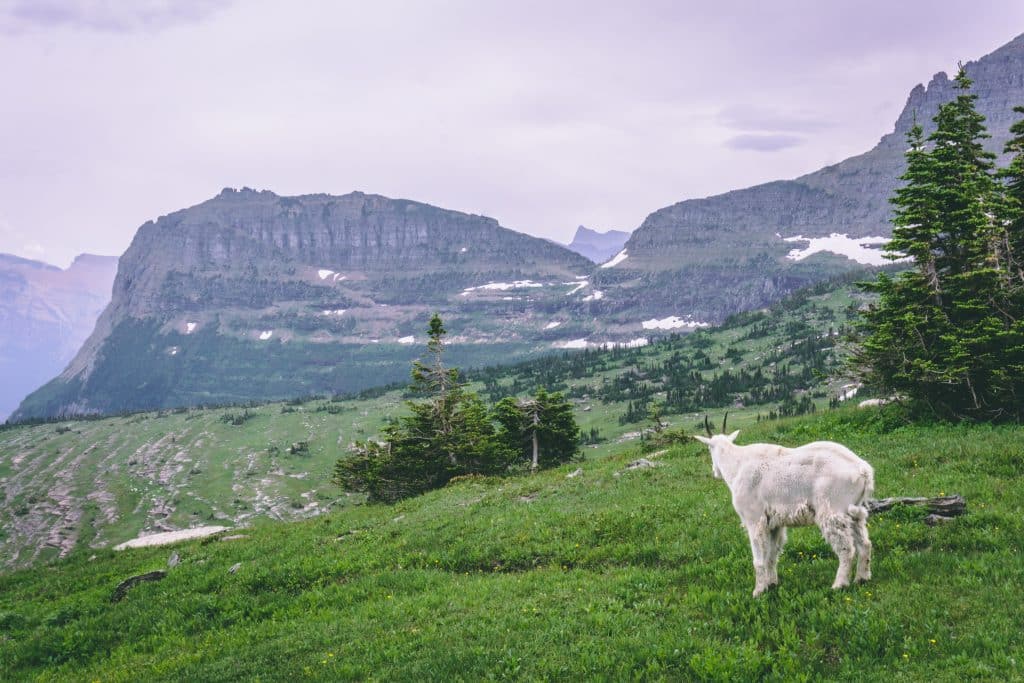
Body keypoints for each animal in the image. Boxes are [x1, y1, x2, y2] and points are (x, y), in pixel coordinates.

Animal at [692, 417, 876, 598]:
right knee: (865, 543)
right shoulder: (774, 523)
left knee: (846, 549)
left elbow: (759, 558)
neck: (737, 465)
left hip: (833, 509)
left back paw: (839, 584)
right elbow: (771, 555)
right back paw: (862, 578)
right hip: (854, 511)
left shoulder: (754, 519)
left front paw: (759, 591)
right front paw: (772, 584)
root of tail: (864, 471)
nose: (715, 472)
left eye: (709, 448)